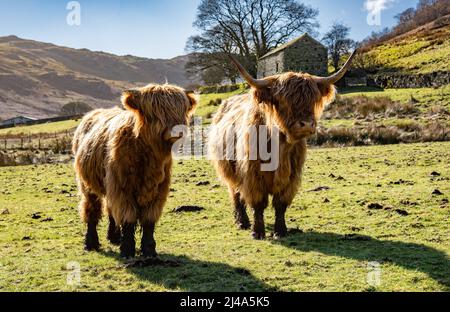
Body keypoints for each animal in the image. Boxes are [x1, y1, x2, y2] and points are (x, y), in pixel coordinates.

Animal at [73, 82, 196, 256]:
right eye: (155, 110)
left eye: (181, 109)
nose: (178, 131)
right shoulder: (122, 188)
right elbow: (128, 218)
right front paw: (128, 249)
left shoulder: (159, 189)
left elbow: (149, 220)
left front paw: (149, 249)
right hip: (87, 184)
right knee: (91, 209)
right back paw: (91, 243)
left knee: (110, 209)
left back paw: (114, 237)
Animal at [208, 50, 358, 239]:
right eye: (284, 100)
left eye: (312, 99)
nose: (306, 124)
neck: (279, 148)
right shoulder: (252, 176)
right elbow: (258, 204)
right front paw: (257, 231)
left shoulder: (291, 176)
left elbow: (280, 204)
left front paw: (281, 230)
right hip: (229, 170)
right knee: (235, 194)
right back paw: (242, 221)